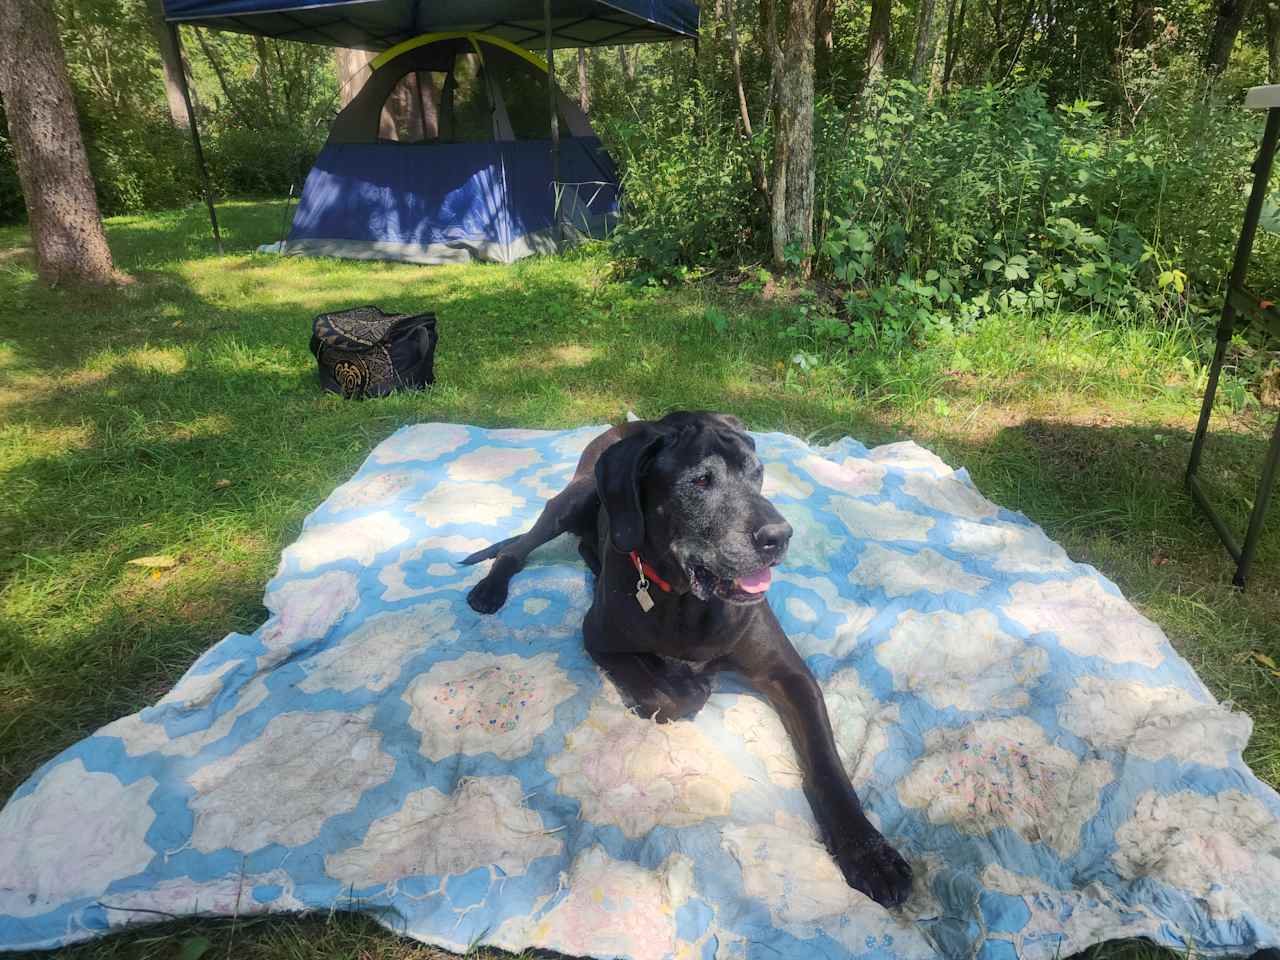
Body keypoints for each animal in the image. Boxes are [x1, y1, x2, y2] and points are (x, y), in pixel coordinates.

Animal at [460, 412, 911, 911]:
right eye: (699, 482)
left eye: (757, 473)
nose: (779, 537)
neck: (686, 600)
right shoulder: (597, 637)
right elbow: (667, 695)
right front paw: (683, 682)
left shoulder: (790, 675)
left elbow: (827, 762)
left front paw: (870, 853)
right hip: (571, 499)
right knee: (516, 549)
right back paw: (490, 588)